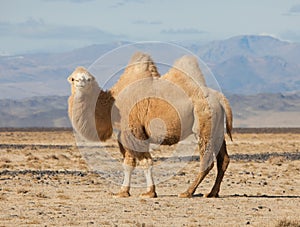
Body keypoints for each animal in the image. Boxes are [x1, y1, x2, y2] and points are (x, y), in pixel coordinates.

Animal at [68, 52, 232, 198]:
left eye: (88, 79)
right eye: (73, 78)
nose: (81, 82)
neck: (112, 104)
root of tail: (220, 97)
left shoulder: (134, 132)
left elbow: (144, 162)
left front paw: (149, 192)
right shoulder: (124, 135)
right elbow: (128, 163)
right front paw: (123, 192)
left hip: (204, 124)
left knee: (207, 160)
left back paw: (187, 192)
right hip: (217, 129)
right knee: (223, 159)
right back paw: (212, 193)